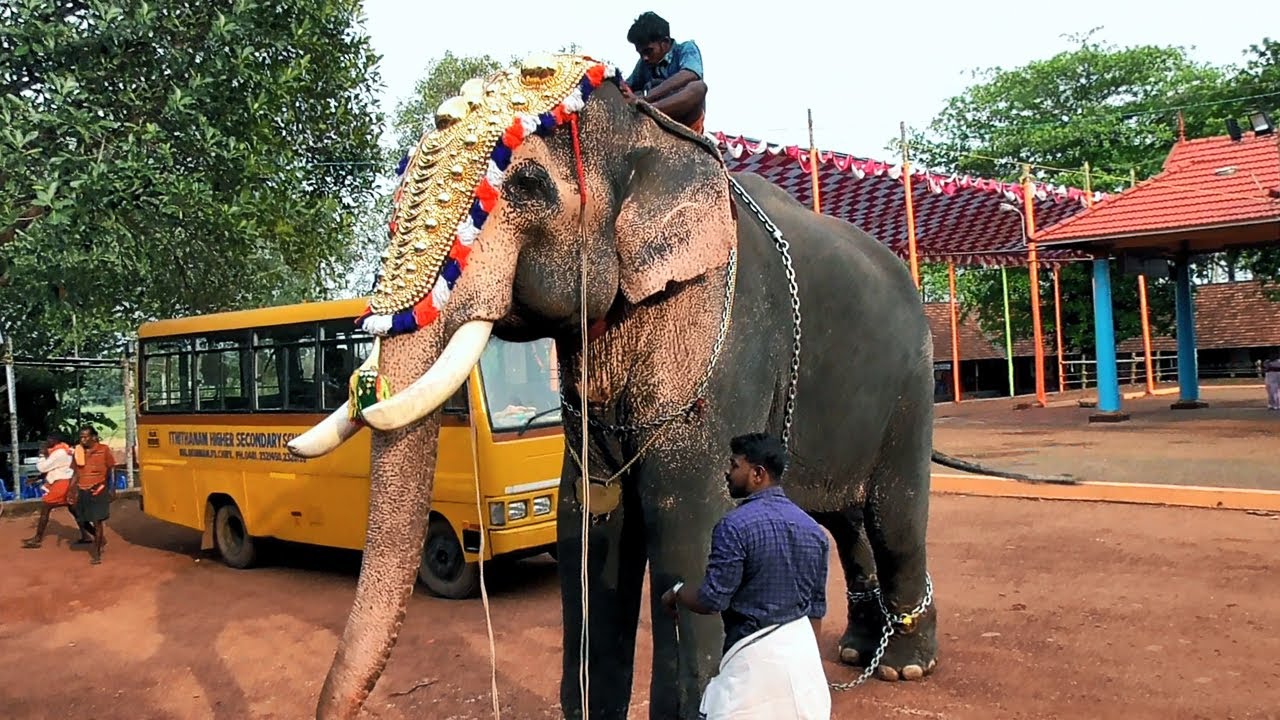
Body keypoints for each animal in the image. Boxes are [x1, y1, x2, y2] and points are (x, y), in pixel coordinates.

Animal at [288, 54, 1050, 720]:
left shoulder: (724, 331)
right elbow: (589, 519)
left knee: (893, 517)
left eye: (527, 183)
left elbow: (686, 514)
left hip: (911, 382)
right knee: (842, 519)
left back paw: (905, 667)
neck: (649, 131)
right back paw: (859, 652)